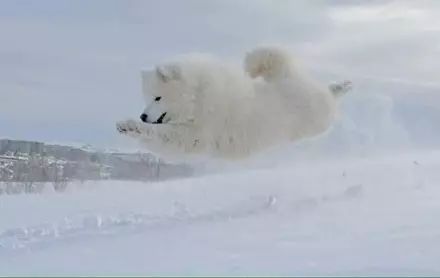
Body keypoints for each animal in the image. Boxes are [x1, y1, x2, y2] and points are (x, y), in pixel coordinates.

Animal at [117, 46, 350, 160]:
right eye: (147, 98)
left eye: (158, 98)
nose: (143, 116)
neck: (197, 96)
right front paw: (129, 127)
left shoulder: (198, 135)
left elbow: (163, 133)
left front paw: (130, 125)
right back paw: (341, 85)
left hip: (308, 105)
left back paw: (341, 86)